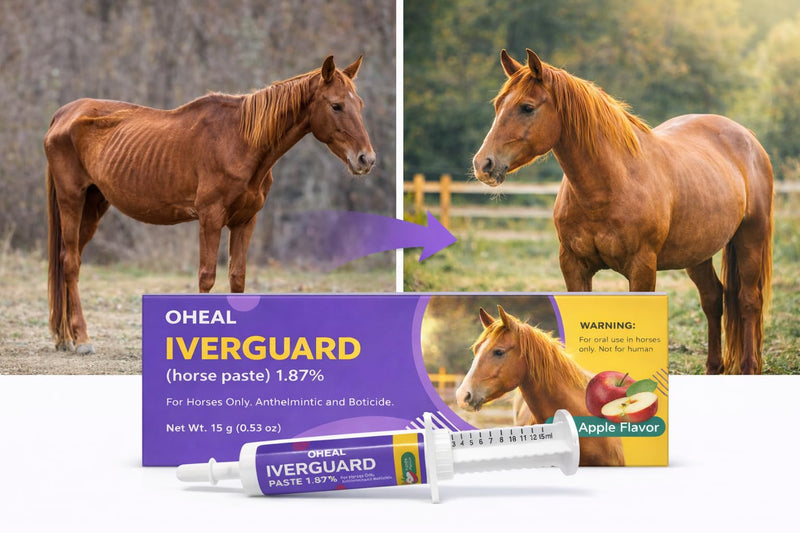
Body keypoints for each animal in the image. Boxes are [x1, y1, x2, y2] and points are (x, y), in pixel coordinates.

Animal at [45, 55, 375, 354]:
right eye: (336, 105)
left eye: (359, 104)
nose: (366, 159)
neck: (239, 141)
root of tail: (62, 114)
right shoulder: (210, 218)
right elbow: (207, 277)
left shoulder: (245, 221)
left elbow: (237, 278)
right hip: (72, 200)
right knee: (71, 263)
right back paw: (82, 340)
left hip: (93, 205)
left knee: (68, 259)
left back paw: (66, 338)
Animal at [473, 49, 773, 375]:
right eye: (498, 105)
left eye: (527, 108)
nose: (483, 164)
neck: (610, 185)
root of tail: (747, 137)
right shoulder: (573, 265)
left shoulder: (642, 268)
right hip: (698, 252)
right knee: (713, 298)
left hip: (750, 237)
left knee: (748, 300)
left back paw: (749, 367)